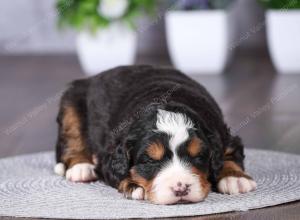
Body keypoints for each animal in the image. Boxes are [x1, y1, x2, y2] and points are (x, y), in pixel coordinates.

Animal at [53, 65, 255, 205]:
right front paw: (134, 185)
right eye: (150, 161)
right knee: (71, 139)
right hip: (71, 101)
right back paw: (81, 167)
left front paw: (235, 178)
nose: (181, 188)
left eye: (198, 157)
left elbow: (229, 155)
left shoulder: (223, 135)